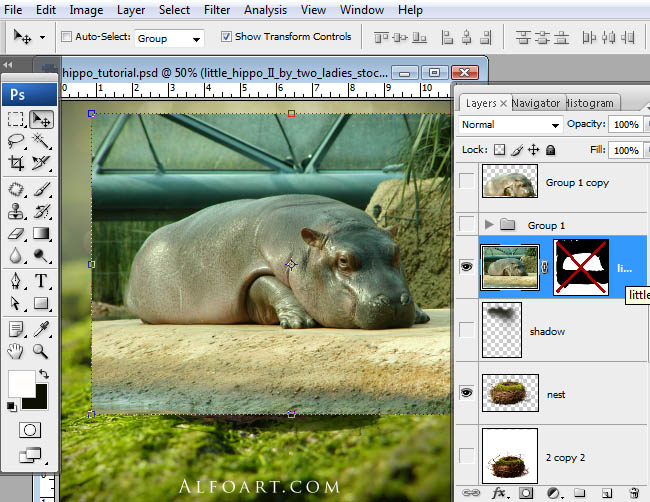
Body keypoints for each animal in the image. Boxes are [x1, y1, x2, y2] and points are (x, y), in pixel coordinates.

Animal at [125, 195, 430, 329]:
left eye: (397, 251)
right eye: (343, 260)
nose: (394, 302)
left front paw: (420, 314)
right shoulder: (254, 268)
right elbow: (268, 285)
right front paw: (299, 322)